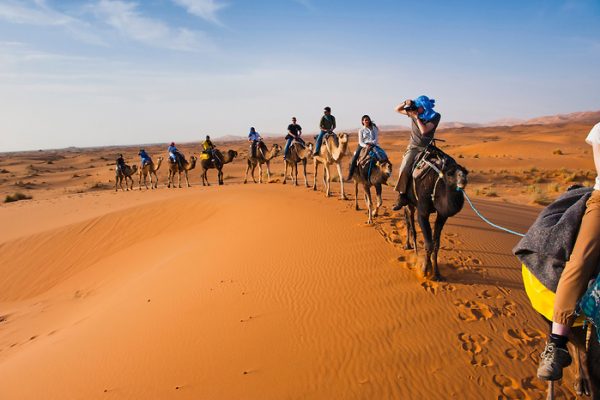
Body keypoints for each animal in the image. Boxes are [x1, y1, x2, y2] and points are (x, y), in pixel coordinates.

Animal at [404, 145, 468, 280]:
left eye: (465, 172)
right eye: (450, 174)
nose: (463, 179)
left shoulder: (442, 215)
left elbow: (436, 244)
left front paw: (437, 273)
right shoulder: (422, 212)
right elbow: (428, 244)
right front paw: (424, 270)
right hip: (408, 201)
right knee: (409, 221)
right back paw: (411, 248)